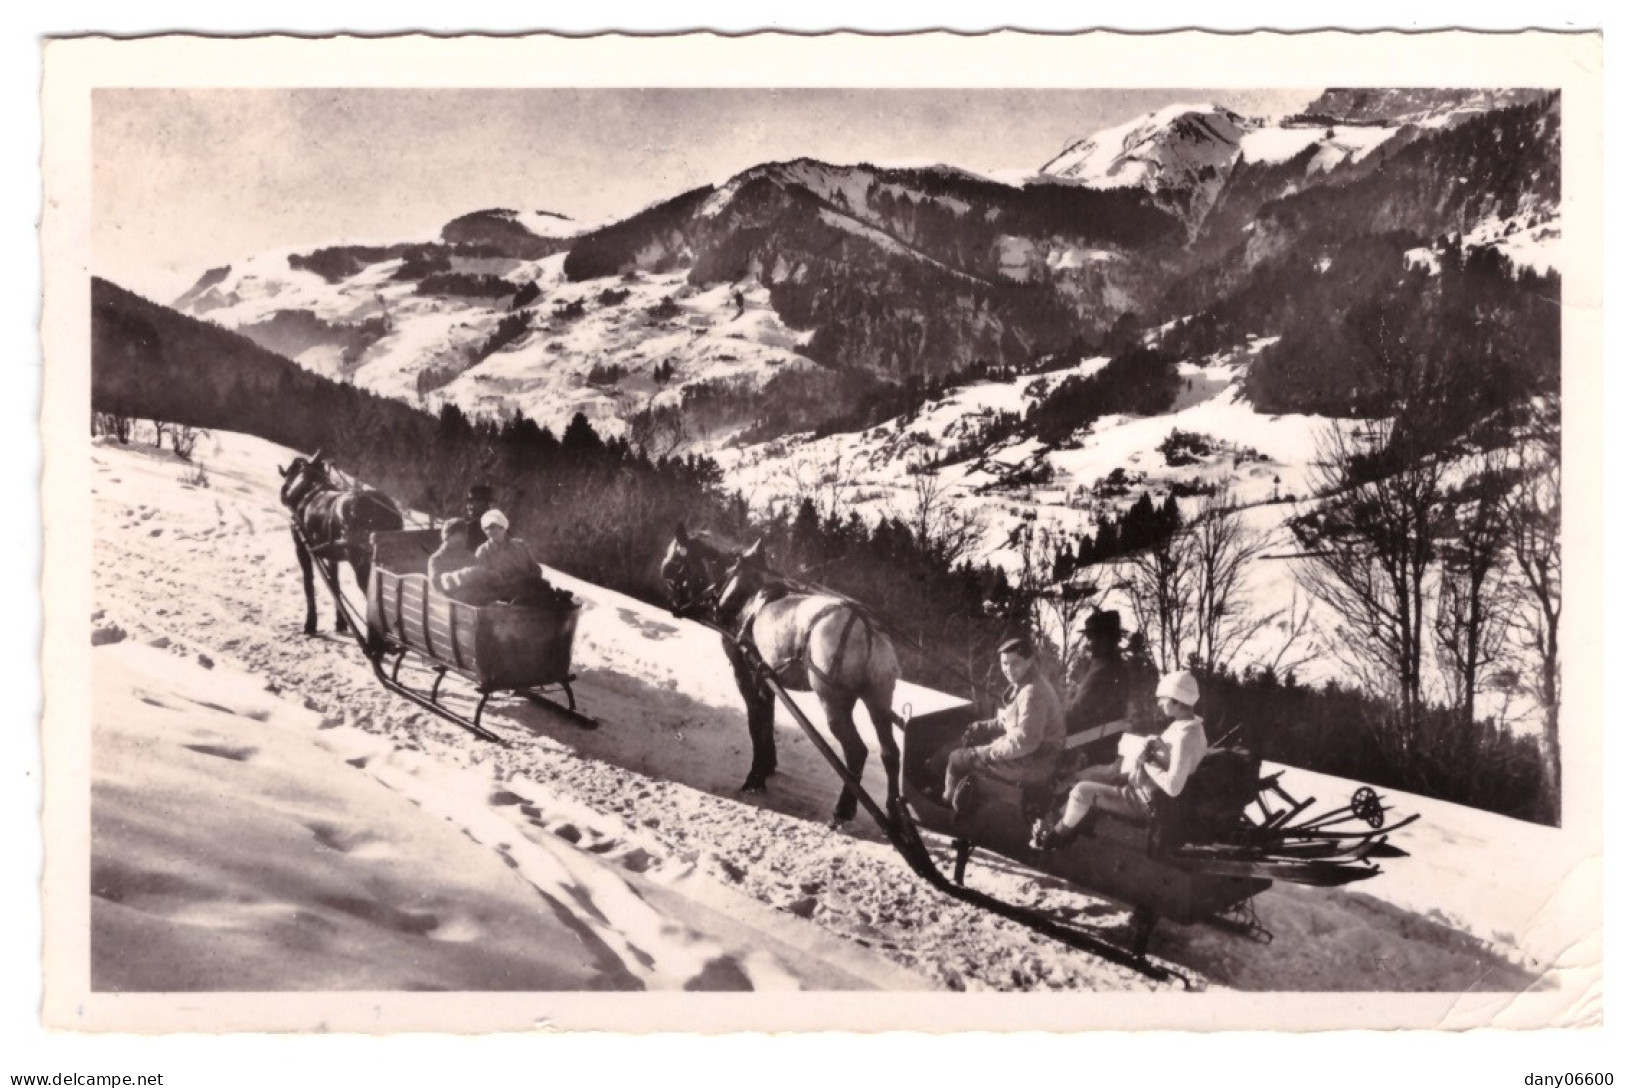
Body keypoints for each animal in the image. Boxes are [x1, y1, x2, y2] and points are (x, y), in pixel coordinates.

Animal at [276, 454, 403, 639]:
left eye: (290, 472)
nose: (283, 494)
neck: (309, 490)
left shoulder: (302, 548)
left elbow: (309, 585)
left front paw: (310, 624)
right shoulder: (331, 557)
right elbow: (335, 585)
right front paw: (341, 622)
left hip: (363, 566)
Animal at [663, 529, 916, 828]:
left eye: (674, 562)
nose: (673, 605)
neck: (741, 591)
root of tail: (865, 627)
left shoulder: (745, 672)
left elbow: (756, 721)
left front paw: (755, 778)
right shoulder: (766, 676)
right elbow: (768, 718)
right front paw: (768, 766)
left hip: (833, 700)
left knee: (856, 751)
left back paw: (844, 810)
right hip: (877, 699)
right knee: (890, 753)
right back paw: (893, 812)